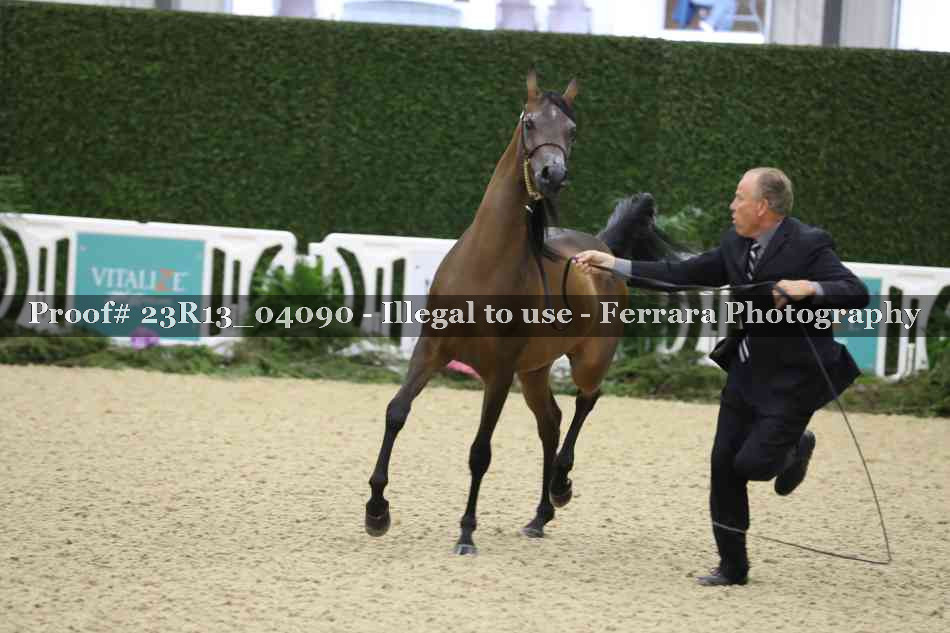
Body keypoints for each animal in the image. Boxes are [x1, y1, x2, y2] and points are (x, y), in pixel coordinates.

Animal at [364, 71, 673, 555]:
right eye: (529, 122)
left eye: (572, 131)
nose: (553, 174)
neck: (485, 266)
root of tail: (602, 249)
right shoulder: (431, 351)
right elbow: (397, 412)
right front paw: (377, 512)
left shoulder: (499, 372)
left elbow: (480, 451)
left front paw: (466, 533)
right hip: (534, 372)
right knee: (551, 421)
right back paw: (540, 516)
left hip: (586, 360)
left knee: (585, 402)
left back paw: (561, 487)